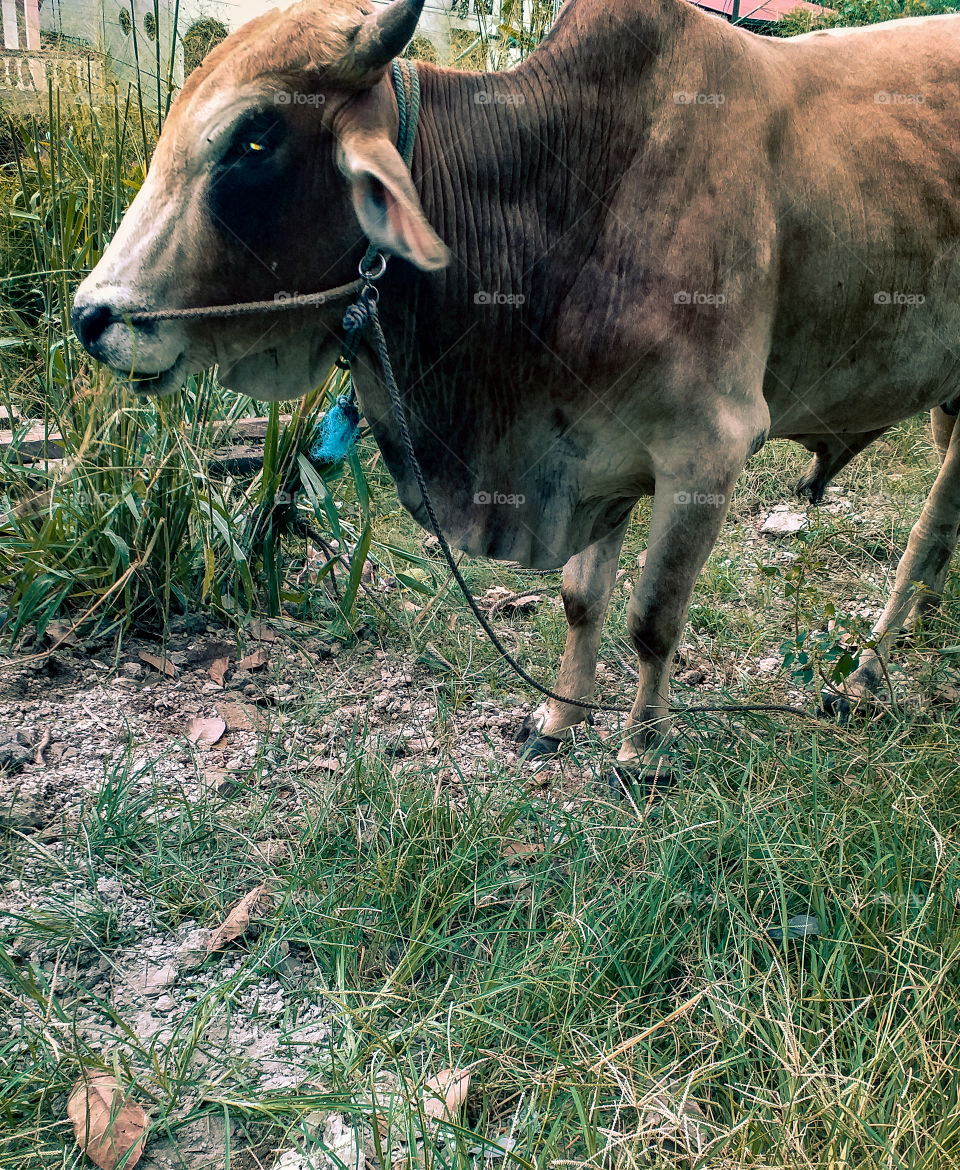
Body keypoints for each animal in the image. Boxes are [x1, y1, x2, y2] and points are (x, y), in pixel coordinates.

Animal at [71, 0, 958, 786]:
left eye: (255, 138)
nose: (92, 317)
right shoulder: (595, 447)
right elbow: (581, 599)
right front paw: (559, 720)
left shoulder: (707, 449)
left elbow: (652, 619)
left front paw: (641, 751)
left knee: (929, 526)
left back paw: (868, 672)